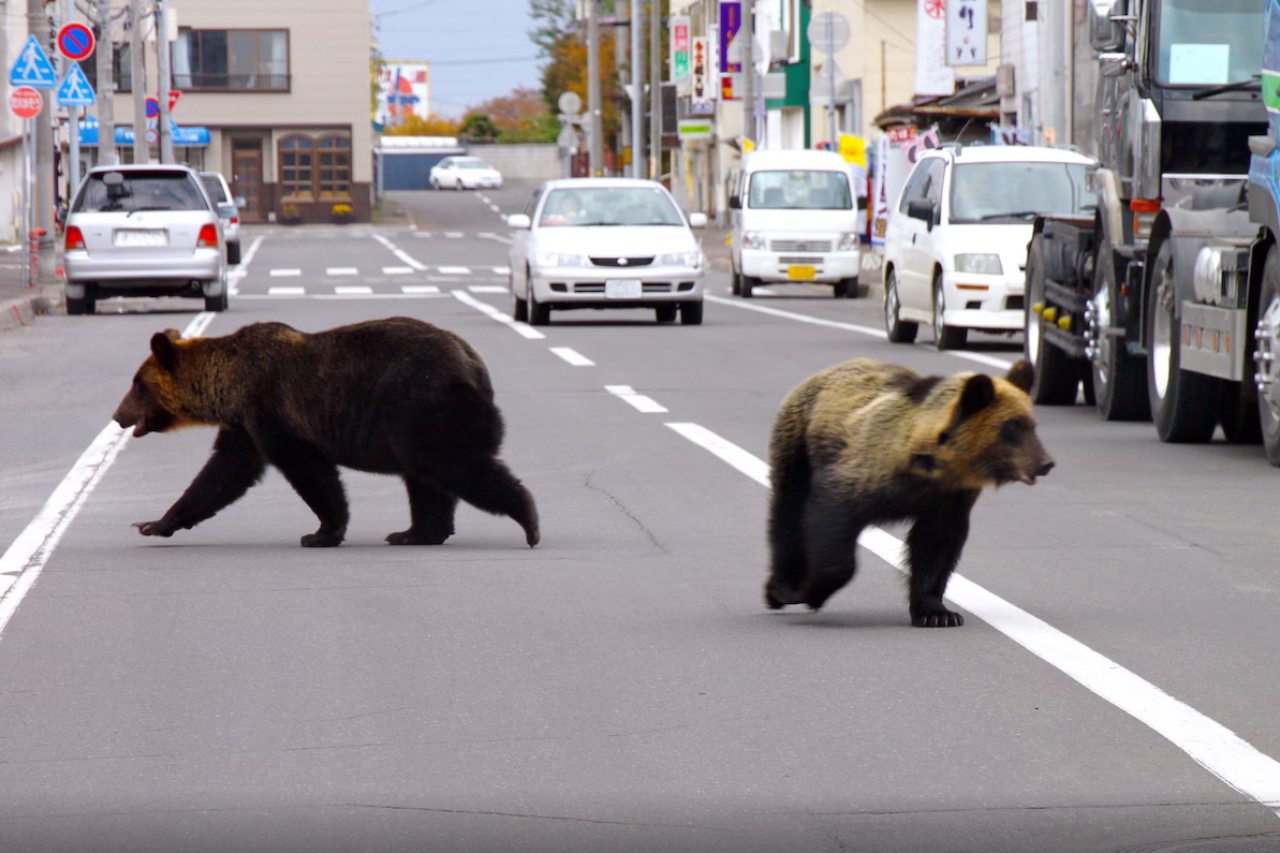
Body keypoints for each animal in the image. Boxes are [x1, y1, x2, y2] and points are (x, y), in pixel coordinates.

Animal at [112, 317, 540, 549]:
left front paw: (321, 532)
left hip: (421, 406)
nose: (118, 415)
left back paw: (528, 520)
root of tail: (473, 363)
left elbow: (309, 471)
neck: (228, 386)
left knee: (452, 464)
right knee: (425, 478)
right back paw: (414, 532)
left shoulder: (272, 411)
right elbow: (221, 474)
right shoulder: (244, 426)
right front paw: (153, 523)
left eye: (137, 385)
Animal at [764, 358, 1053, 627]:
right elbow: (832, 518)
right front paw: (811, 592)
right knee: (788, 509)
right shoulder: (866, 472)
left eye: (1033, 425)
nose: (1046, 463)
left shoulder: (948, 499)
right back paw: (781, 587)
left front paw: (937, 613)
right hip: (799, 442)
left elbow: (936, 546)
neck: (932, 465)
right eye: (1013, 426)